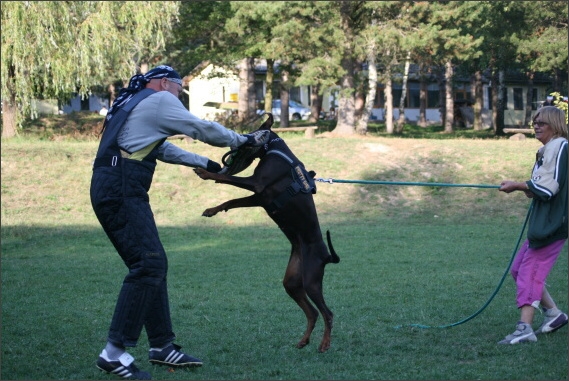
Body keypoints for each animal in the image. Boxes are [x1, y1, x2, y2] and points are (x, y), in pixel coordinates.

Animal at [193, 113, 340, 354]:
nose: (234, 142)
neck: (274, 148)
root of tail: (327, 255)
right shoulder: (259, 197)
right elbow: (232, 201)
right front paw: (212, 210)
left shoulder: (257, 184)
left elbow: (227, 180)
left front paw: (206, 173)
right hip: (292, 281)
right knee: (312, 312)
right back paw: (304, 340)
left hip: (311, 279)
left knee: (327, 313)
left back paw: (325, 343)